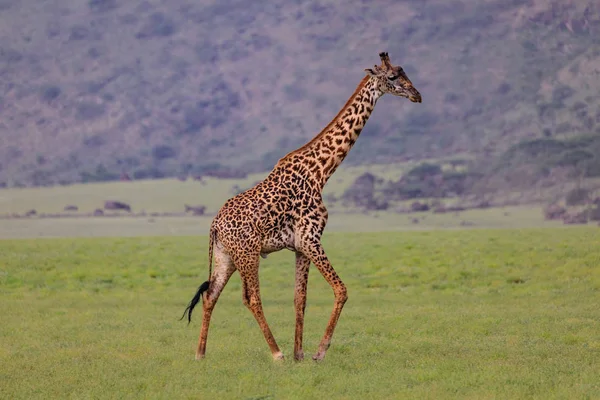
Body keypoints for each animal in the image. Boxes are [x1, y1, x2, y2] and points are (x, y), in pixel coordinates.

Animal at [183, 51, 422, 360]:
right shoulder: (311, 238)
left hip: (226, 256)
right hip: (247, 254)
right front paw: (318, 352)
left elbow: (300, 298)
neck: (321, 172)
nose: (417, 95)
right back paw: (276, 354)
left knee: (211, 295)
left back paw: (200, 354)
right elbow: (341, 290)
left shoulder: (300, 246)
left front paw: (300, 355)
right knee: (251, 298)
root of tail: (214, 225)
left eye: (405, 72)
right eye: (393, 76)